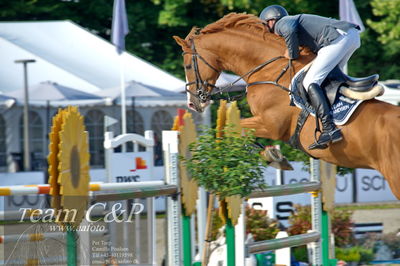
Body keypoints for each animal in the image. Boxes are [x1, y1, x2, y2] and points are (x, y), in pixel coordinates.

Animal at [174, 13, 400, 200]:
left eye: (187, 65)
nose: (193, 103)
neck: (269, 70)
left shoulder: (271, 125)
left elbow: (236, 128)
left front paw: (273, 156)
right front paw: (271, 156)